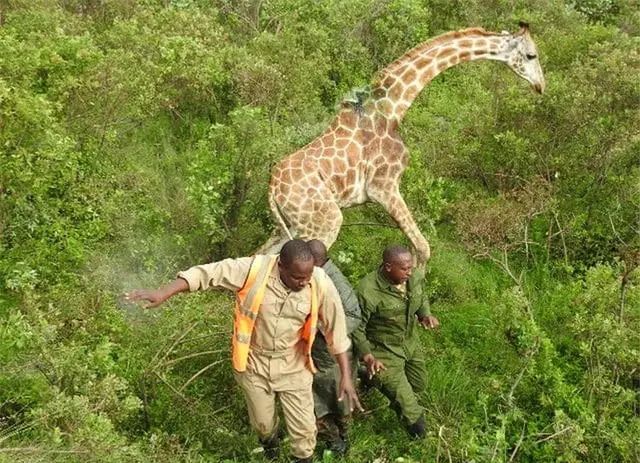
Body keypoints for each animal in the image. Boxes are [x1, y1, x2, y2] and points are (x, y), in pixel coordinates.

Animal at [258, 21, 544, 266]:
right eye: (531, 55)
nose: (541, 85)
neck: (393, 109)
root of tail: (272, 188)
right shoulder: (383, 186)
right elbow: (423, 248)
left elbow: (416, 248)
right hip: (323, 221)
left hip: (288, 224)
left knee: (260, 256)